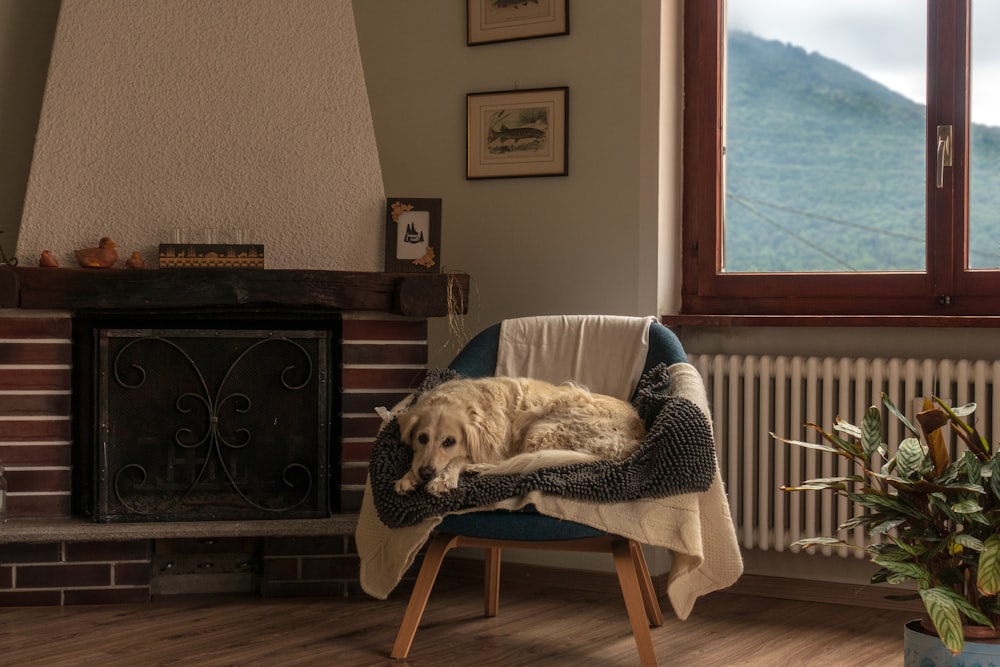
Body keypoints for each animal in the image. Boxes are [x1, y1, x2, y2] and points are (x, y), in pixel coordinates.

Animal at [392, 376, 648, 496]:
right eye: (422, 438)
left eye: (449, 442)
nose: (426, 473)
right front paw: (408, 477)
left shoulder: (490, 449)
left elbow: (458, 458)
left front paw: (444, 478)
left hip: (542, 427)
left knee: (518, 463)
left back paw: (478, 468)